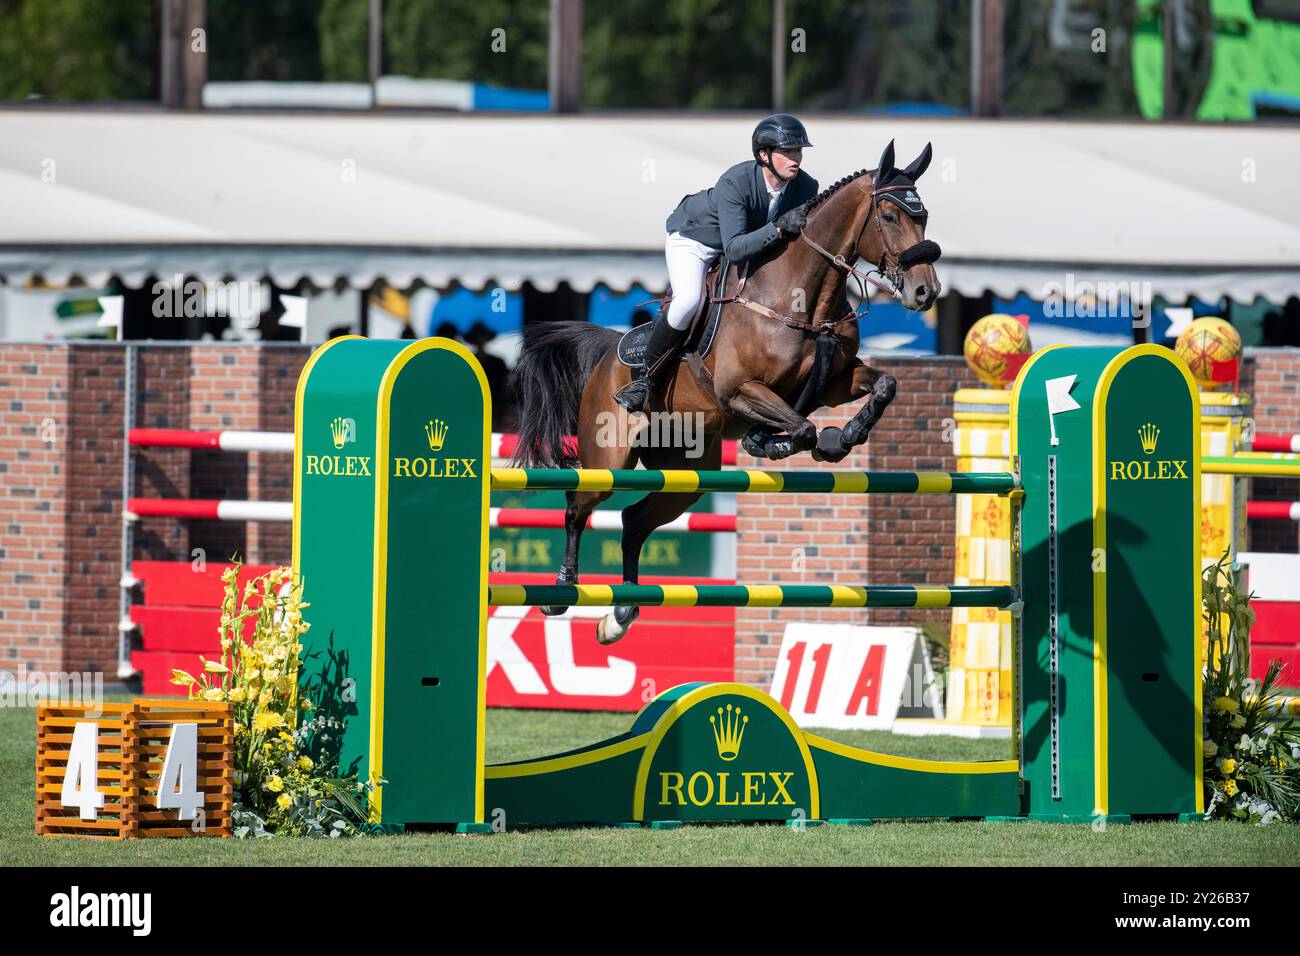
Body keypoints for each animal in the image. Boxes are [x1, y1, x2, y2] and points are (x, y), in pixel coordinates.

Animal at [509, 140, 946, 642]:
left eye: (924, 216)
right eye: (890, 217)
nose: (925, 293)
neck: (803, 296)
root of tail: (606, 354)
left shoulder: (835, 382)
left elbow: (880, 387)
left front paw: (843, 437)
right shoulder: (738, 391)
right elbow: (802, 428)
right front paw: (785, 443)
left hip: (686, 473)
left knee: (634, 520)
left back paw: (619, 616)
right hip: (610, 456)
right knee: (577, 505)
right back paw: (561, 592)